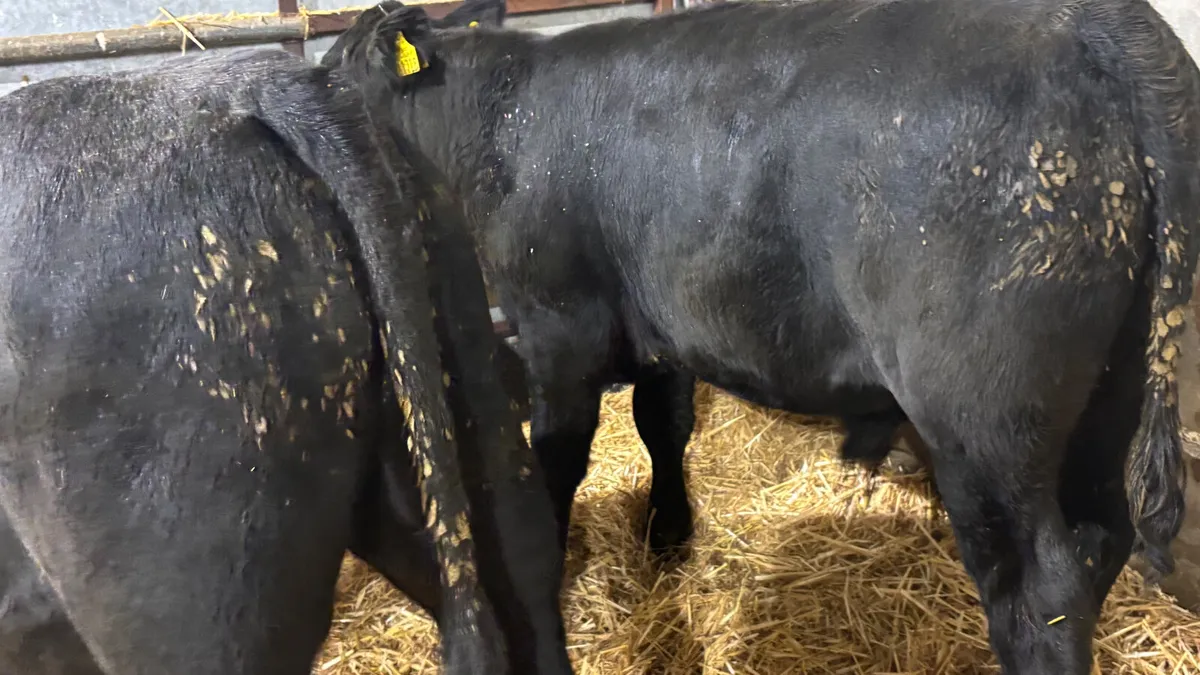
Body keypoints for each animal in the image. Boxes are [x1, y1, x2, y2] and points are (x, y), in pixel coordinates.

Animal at [324, 0, 1200, 671]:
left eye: (333, 78)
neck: (498, 120)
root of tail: (1099, 25)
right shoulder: (661, 320)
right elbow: (664, 423)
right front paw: (668, 530)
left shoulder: (556, 327)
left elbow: (561, 456)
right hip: (1113, 388)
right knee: (1100, 538)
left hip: (984, 416)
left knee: (1039, 591)